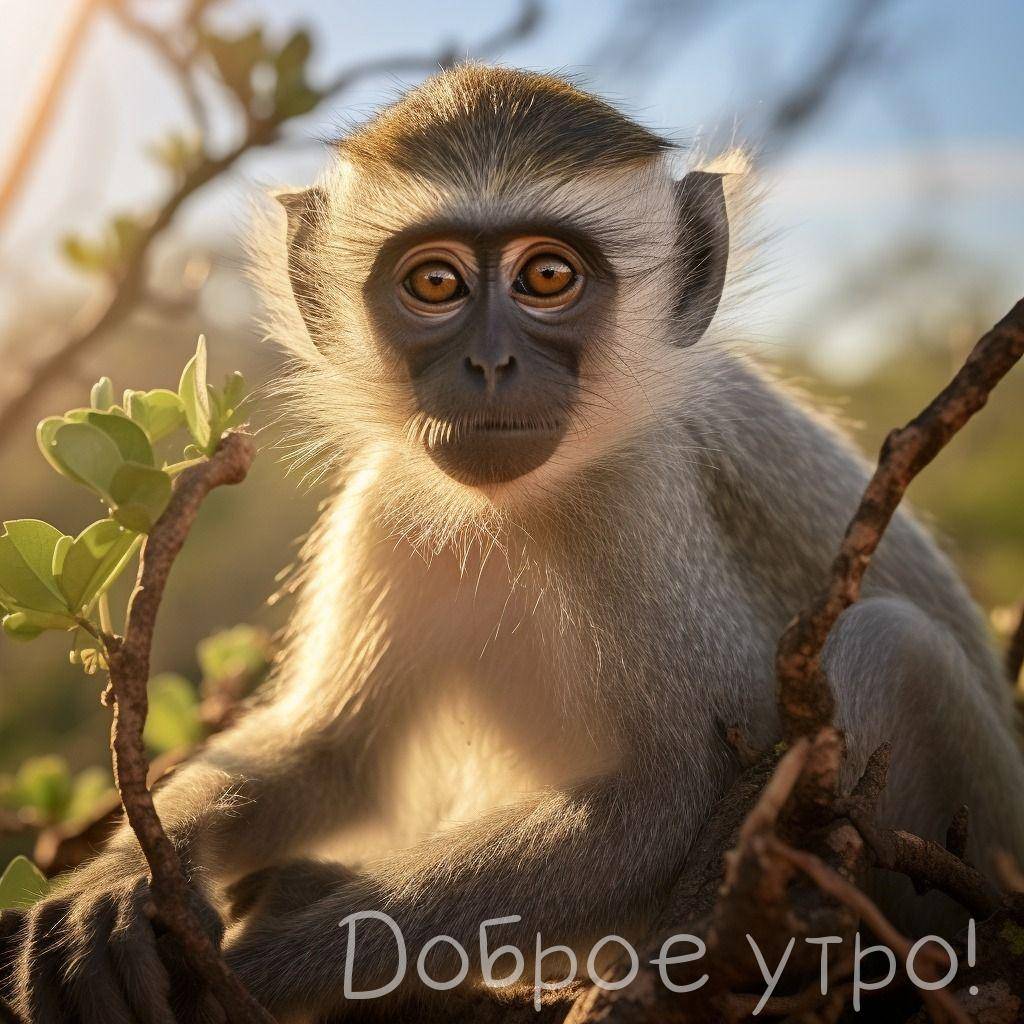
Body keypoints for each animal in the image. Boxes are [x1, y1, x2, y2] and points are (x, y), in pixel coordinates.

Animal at [4, 64, 1024, 1023]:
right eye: (435, 282)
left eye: (547, 277)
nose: (490, 364)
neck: (525, 507)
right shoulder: (384, 503)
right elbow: (333, 758)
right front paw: (120, 886)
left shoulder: (636, 505)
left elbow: (665, 795)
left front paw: (266, 963)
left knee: (891, 646)